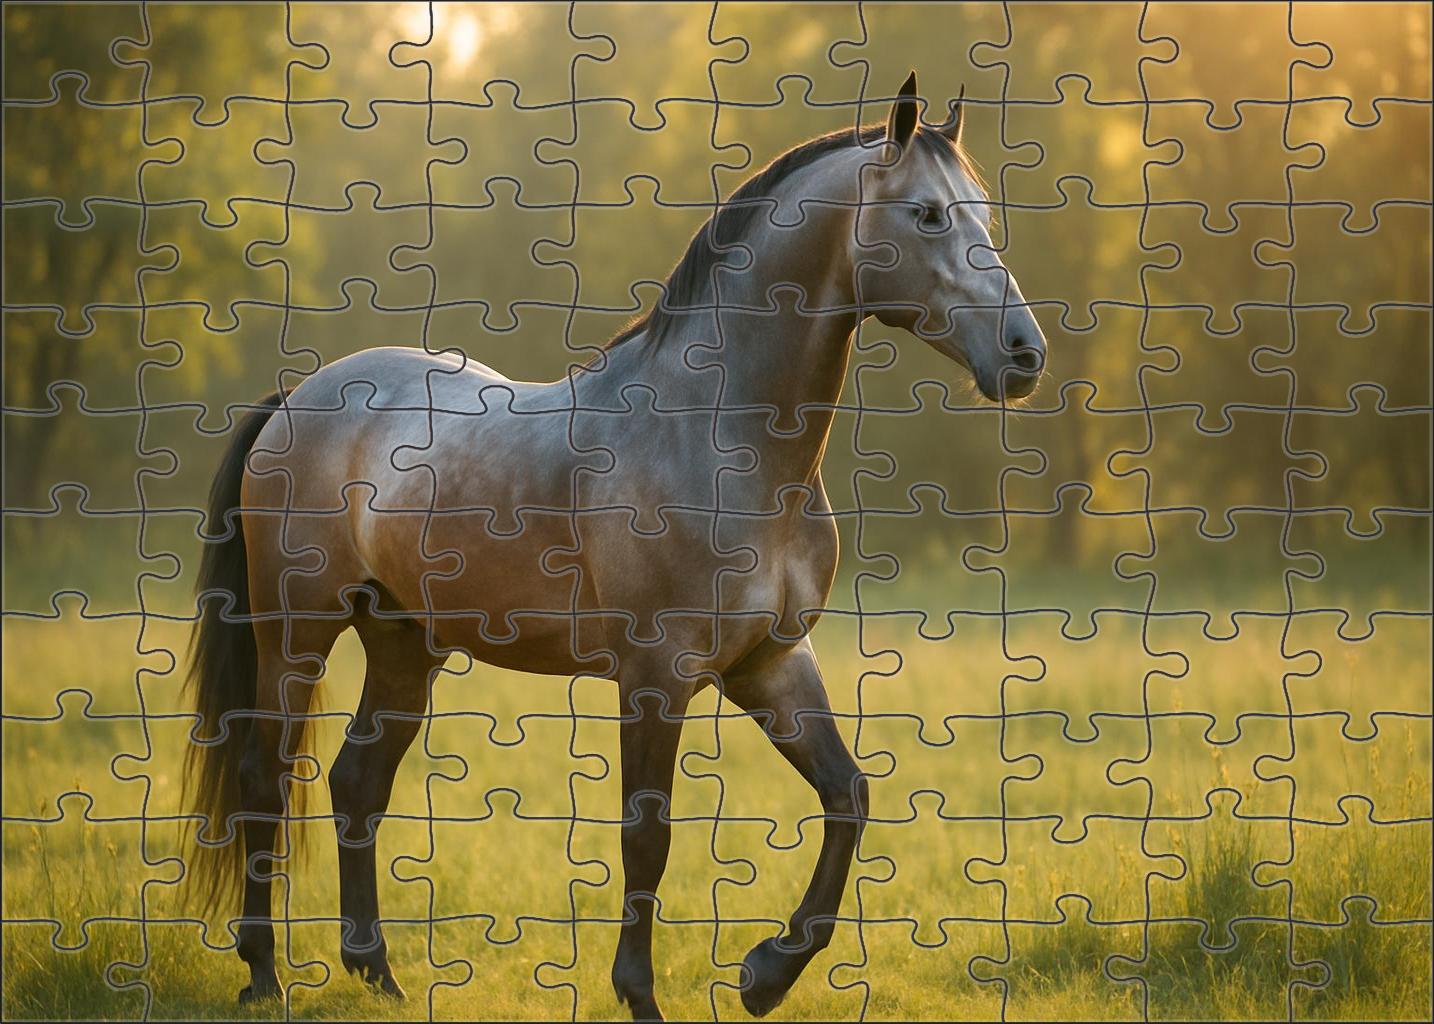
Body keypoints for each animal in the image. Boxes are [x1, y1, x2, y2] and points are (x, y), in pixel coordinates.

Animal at [185, 71, 1045, 1021]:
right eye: (927, 214)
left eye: (984, 215)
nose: (1023, 353)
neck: (719, 436)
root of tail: (300, 396)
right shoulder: (655, 675)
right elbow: (648, 834)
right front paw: (643, 994)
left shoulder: (772, 663)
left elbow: (847, 796)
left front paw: (766, 974)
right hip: (295, 633)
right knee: (263, 780)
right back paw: (262, 972)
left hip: (403, 645)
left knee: (356, 784)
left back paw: (376, 971)